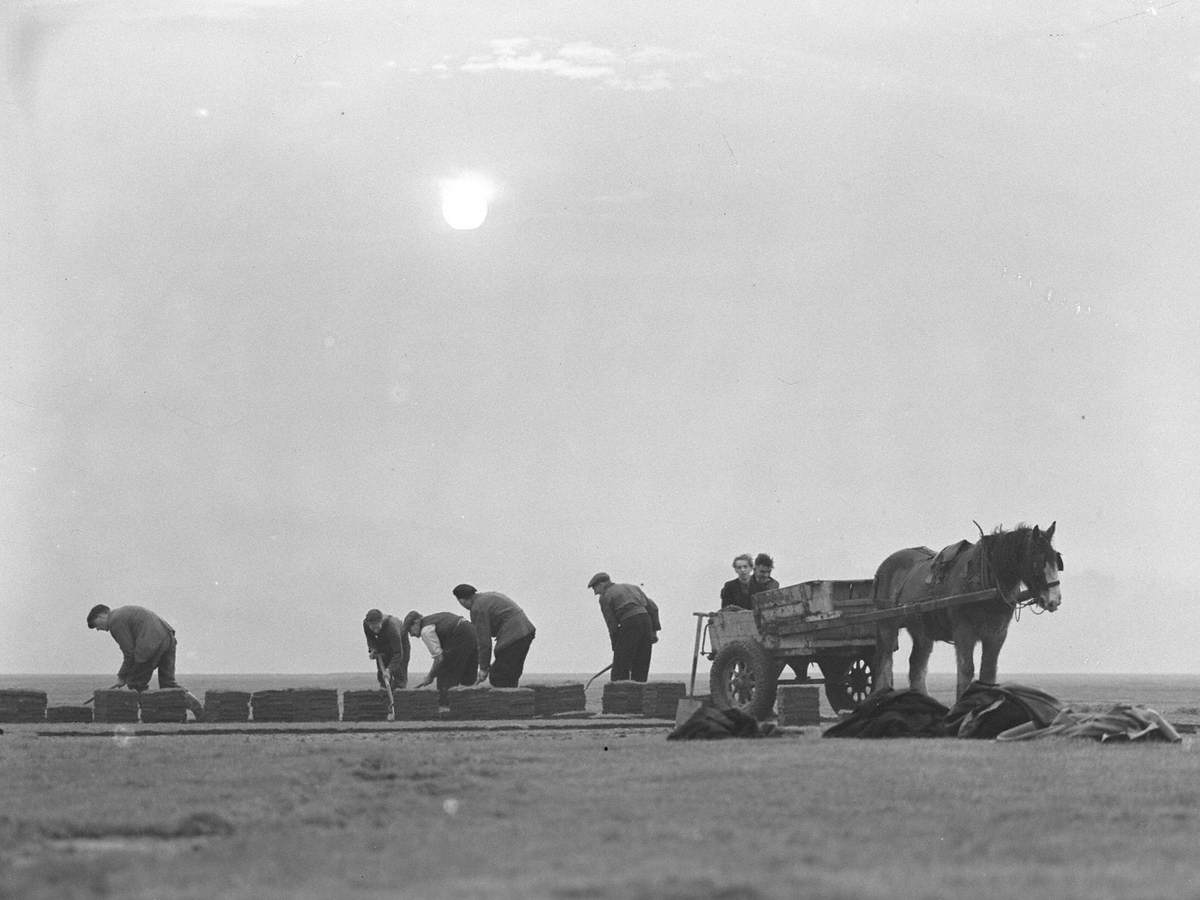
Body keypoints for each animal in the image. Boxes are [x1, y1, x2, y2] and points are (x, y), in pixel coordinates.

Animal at [873, 520, 1060, 705]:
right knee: (885, 662)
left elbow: (988, 671)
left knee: (916, 665)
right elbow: (966, 670)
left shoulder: (997, 635)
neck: (983, 580)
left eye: (1056, 560)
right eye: (1037, 562)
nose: (1054, 600)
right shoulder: (964, 633)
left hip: (922, 632)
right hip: (887, 627)